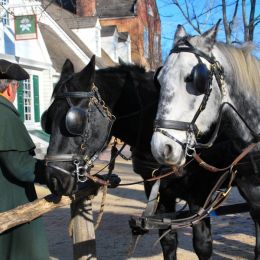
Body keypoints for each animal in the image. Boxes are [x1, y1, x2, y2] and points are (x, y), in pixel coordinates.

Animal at [42, 55, 260, 258]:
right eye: (47, 118)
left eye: (76, 121)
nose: (54, 178)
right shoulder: (159, 191)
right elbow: (169, 241)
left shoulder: (200, 194)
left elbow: (203, 245)